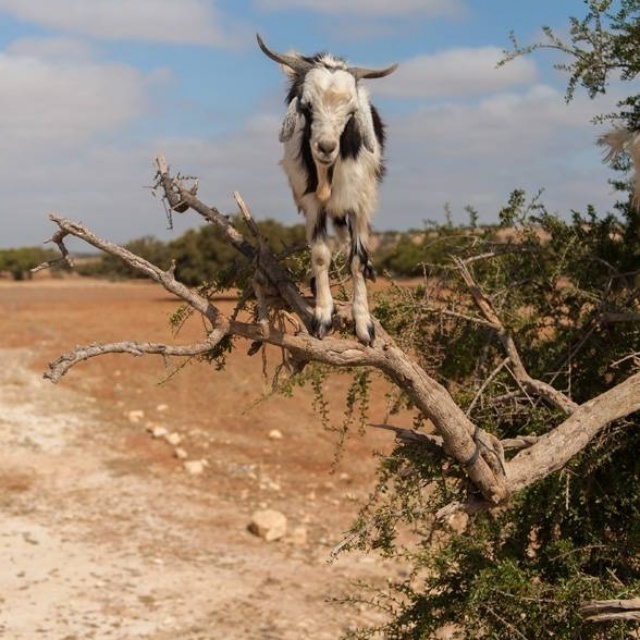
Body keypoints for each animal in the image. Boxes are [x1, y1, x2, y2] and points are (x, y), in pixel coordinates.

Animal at [258, 35, 398, 344]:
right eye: (307, 105)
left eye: (351, 111)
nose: (325, 147)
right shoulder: (312, 205)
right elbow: (321, 254)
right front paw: (322, 316)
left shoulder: (360, 202)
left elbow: (357, 259)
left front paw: (364, 324)